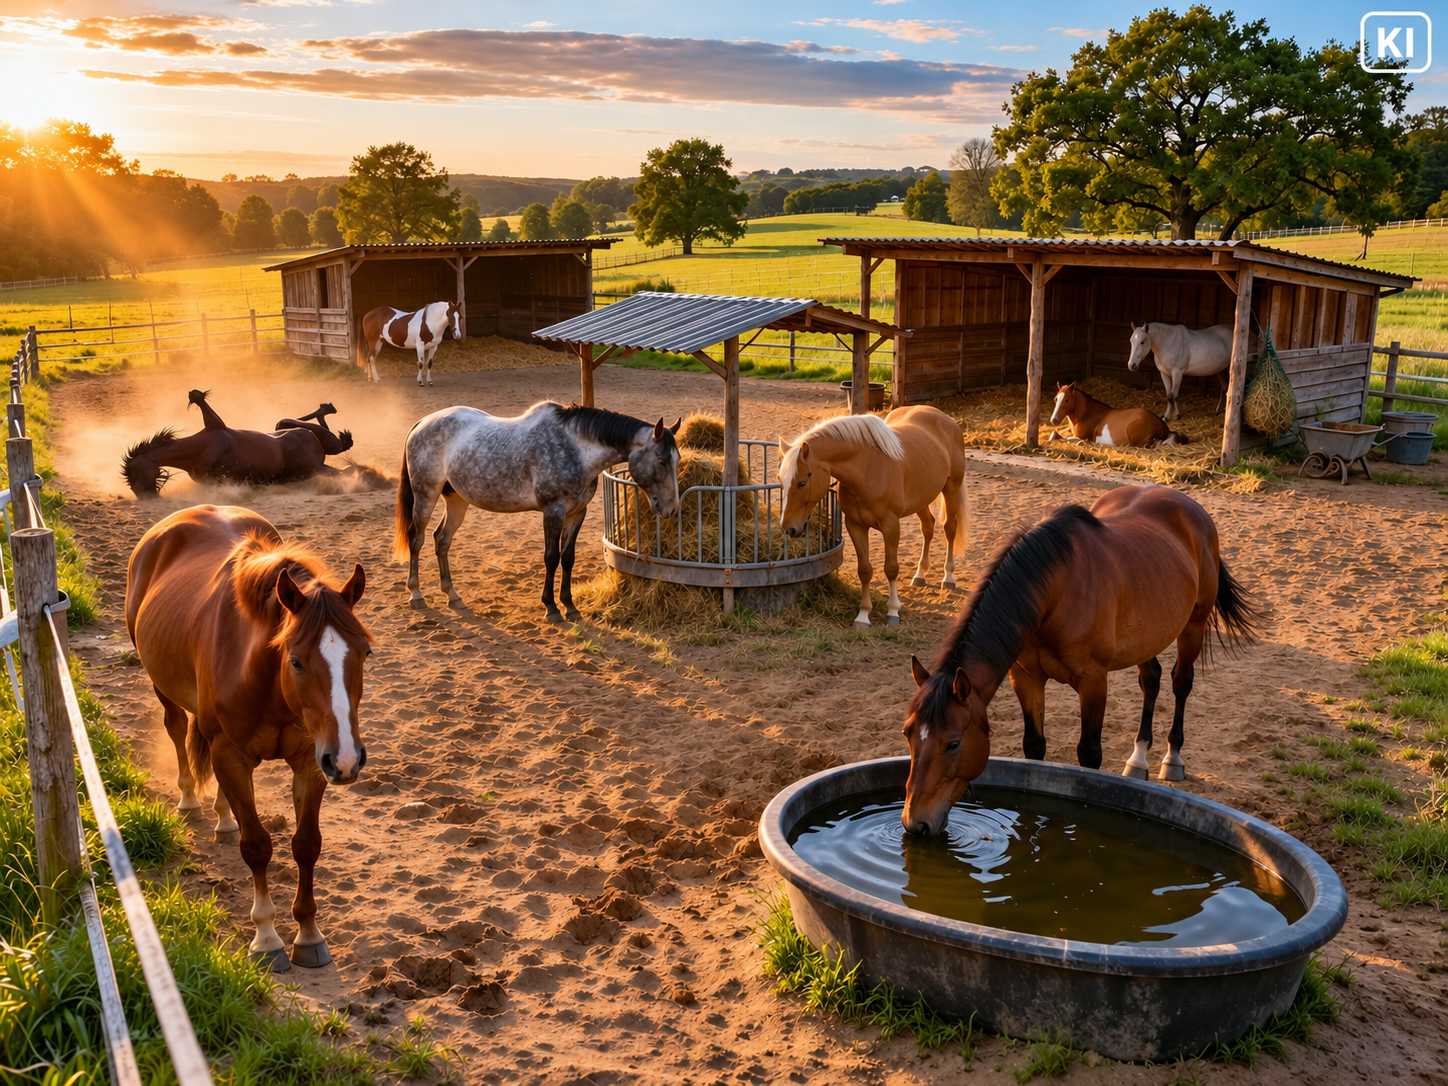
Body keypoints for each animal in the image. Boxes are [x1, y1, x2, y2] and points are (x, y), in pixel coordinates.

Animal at [125, 505, 371, 971]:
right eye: (296, 660)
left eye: (365, 652)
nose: (347, 760)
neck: (262, 679)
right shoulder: (230, 755)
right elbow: (257, 846)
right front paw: (267, 937)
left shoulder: (310, 761)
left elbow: (306, 845)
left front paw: (308, 934)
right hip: (163, 688)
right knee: (176, 728)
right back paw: (190, 798)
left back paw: (224, 817)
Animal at [394, 401, 681, 621]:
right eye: (661, 460)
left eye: (676, 460)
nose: (672, 508)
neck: (576, 450)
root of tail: (423, 423)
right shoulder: (553, 512)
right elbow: (551, 557)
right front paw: (551, 607)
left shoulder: (577, 513)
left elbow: (568, 558)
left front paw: (570, 606)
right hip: (425, 494)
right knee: (417, 538)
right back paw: (416, 594)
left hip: (456, 500)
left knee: (442, 540)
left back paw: (452, 595)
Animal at [777, 407, 967, 628]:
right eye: (780, 479)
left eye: (801, 482)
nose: (788, 528)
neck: (867, 468)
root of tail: (945, 418)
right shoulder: (855, 526)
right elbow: (865, 570)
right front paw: (863, 614)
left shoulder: (891, 526)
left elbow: (891, 568)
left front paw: (893, 611)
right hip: (921, 498)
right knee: (928, 528)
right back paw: (920, 574)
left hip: (951, 488)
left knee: (949, 529)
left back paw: (948, 577)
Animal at [898, 485, 1259, 836]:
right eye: (907, 733)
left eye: (953, 743)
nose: (916, 823)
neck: (1054, 589)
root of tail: (1190, 507)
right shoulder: (1027, 677)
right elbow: (1034, 746)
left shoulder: (1093, 682)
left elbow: (1089, 755)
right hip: (1147, 635)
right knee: (1151, 681)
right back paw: (1139, 758)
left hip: (1193, 626)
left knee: (1181, 683)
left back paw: (1172, 759)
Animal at [1048, 383, 1188, 447]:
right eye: (1055, 399)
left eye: (1066, 400)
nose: (1054, 420)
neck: (1088, 413)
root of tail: (1162, 425)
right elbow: (1055, 433)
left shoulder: (1084, 438)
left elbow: (1061, 437)